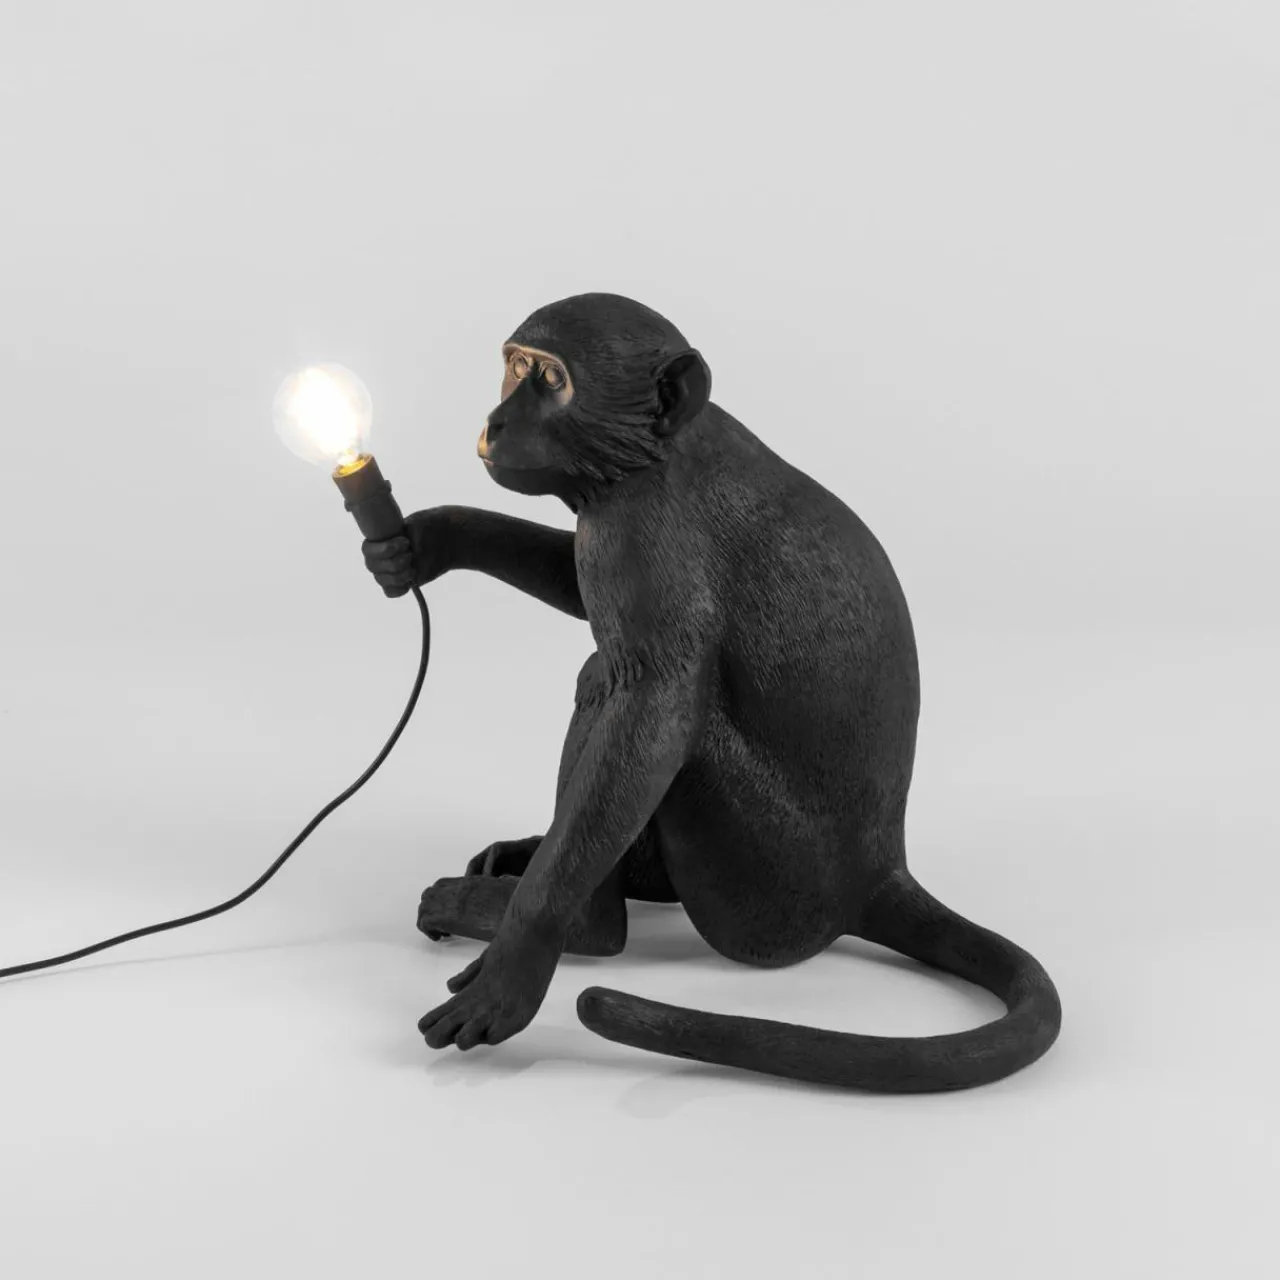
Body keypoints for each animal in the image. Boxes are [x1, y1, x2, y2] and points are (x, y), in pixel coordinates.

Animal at [362, 293, 1061, 1091]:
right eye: (513, 367)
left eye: (550, 379)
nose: (495, 420)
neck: (655, 453)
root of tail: (877, 874)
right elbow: (575, 588)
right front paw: (429, 538)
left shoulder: (638, 531)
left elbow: (655, 709)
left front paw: (521, 958)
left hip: (760, 891)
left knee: (607, 680)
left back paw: (580, 922)